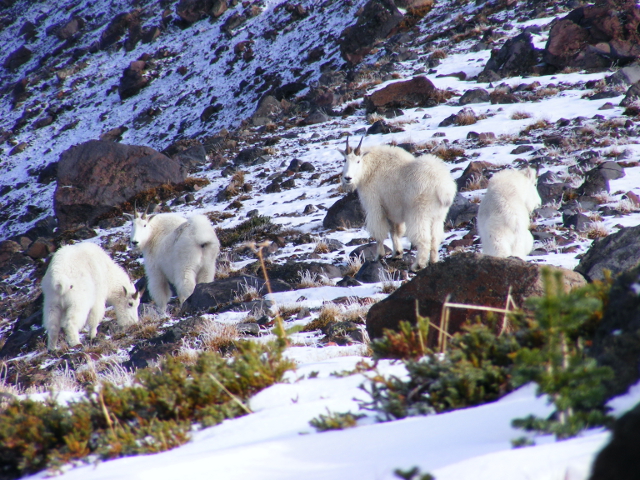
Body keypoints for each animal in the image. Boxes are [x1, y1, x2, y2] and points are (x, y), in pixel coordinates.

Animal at [342, 137, 458, 270]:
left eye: (358, 161)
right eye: (345, 159)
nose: (348, 178)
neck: (370, 168)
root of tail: (443, 187)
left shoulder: (374, 206)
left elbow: (379, 233)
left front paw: (379, 256)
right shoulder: (392, 210)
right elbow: (394, 232)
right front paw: (397, 253)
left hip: (419, 213)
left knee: (424, 239)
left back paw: (418, 265)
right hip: (438, 215)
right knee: (435, 238)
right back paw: (433, 261)